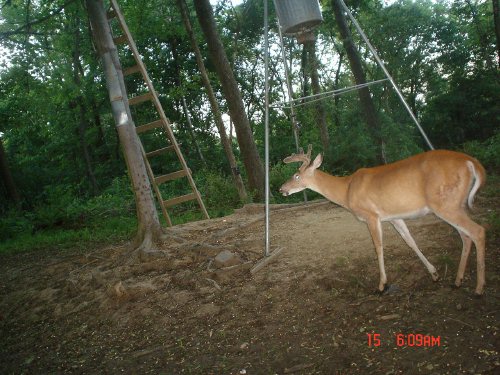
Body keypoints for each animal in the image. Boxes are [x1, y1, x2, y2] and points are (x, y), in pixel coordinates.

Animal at [280, 145, 486, 296]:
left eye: (296, 175)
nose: (282, 189)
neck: (346, 190)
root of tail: (472, 163)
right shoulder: (394, 217)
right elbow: (410, 241)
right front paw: (434, 273)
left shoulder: (371, 215)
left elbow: (378, 247)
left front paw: (382, 284)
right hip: (454, 204)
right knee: (466, 236)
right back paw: (458, 281)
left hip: (445, 204)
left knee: (478, 231)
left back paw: (478, 288)